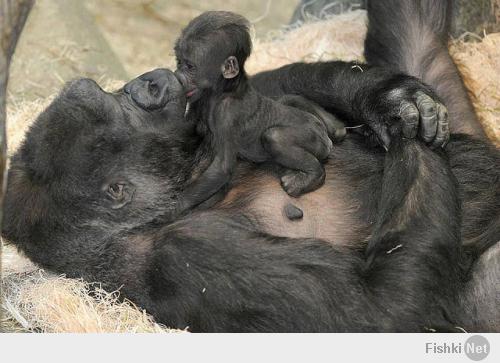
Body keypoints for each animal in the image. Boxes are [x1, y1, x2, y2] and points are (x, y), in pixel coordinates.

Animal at [175, 11, 344, 216]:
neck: (223, 89)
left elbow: (222, 167)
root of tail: (325, 136)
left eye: (190, 67)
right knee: (289, 98)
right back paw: (338, 127)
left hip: (315, 141)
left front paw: (170, 208)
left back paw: (312, 176)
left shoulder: (227, 114)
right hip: (312, 118)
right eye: (179, 62)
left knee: (274, 137)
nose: (178, 75)